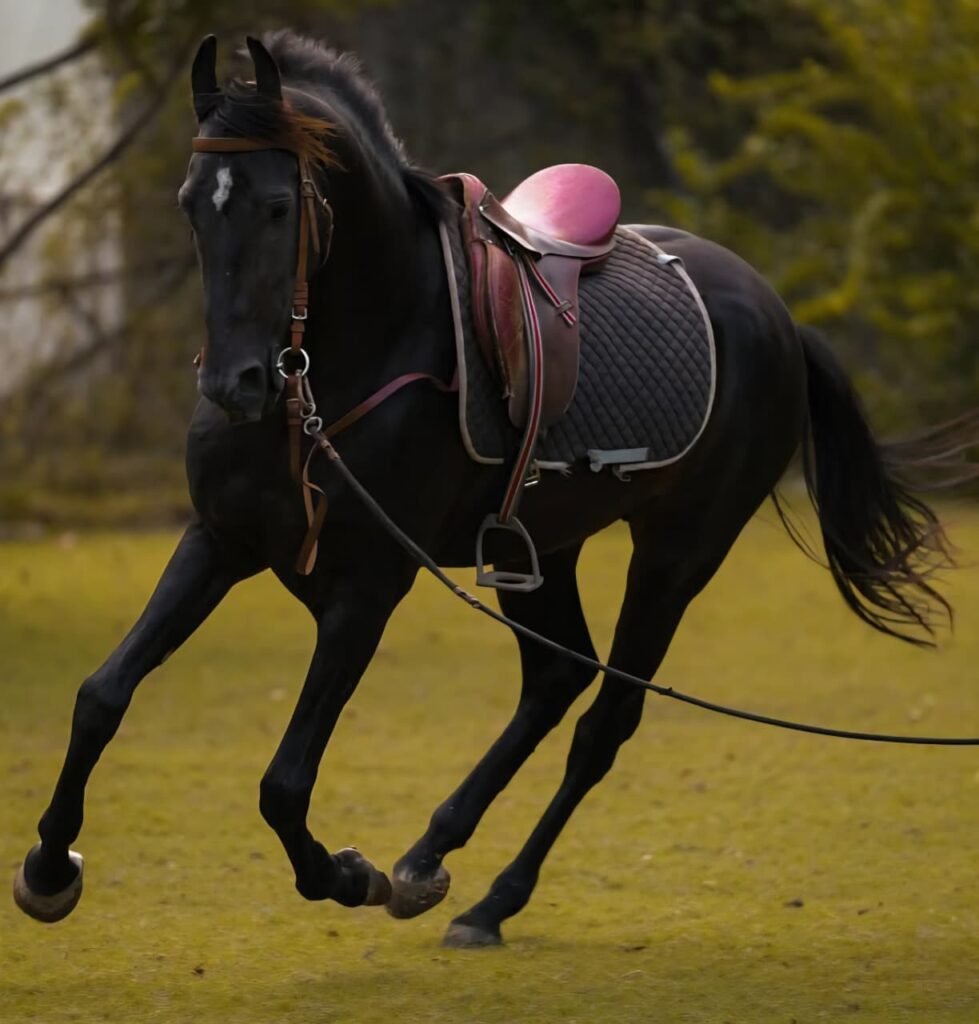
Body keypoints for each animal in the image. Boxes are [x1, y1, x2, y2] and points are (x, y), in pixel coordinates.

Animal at [13, 30, 978, 948]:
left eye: (278, 206)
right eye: (190, 205)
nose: (233, 384)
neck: (342, 364)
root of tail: (778, 315)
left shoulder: (368, 590)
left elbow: (283, 783)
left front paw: (347, 875)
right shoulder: (219, 540)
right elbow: (102, 696)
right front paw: (50, 866)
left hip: (678, 554)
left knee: (603, 722)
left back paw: (490, 897)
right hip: (539, 545)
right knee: (556, 675)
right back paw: (431, 858)